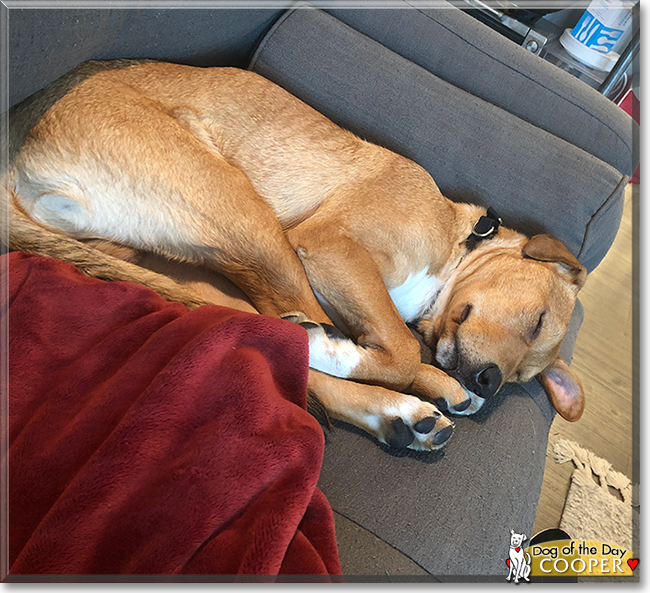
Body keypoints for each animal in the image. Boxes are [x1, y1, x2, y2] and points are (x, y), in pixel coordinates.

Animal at [1, 60, 588, 448]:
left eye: (524, 378)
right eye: (537, 320)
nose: (490, 382)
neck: (457, 239)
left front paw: (443, 386)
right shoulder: (331, 245)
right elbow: (398, 351)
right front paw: (373, 358)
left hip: (189, 252)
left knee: (234, 319)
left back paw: (403, 414)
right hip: (246, 217)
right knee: (288, 330)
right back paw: (372, 383)